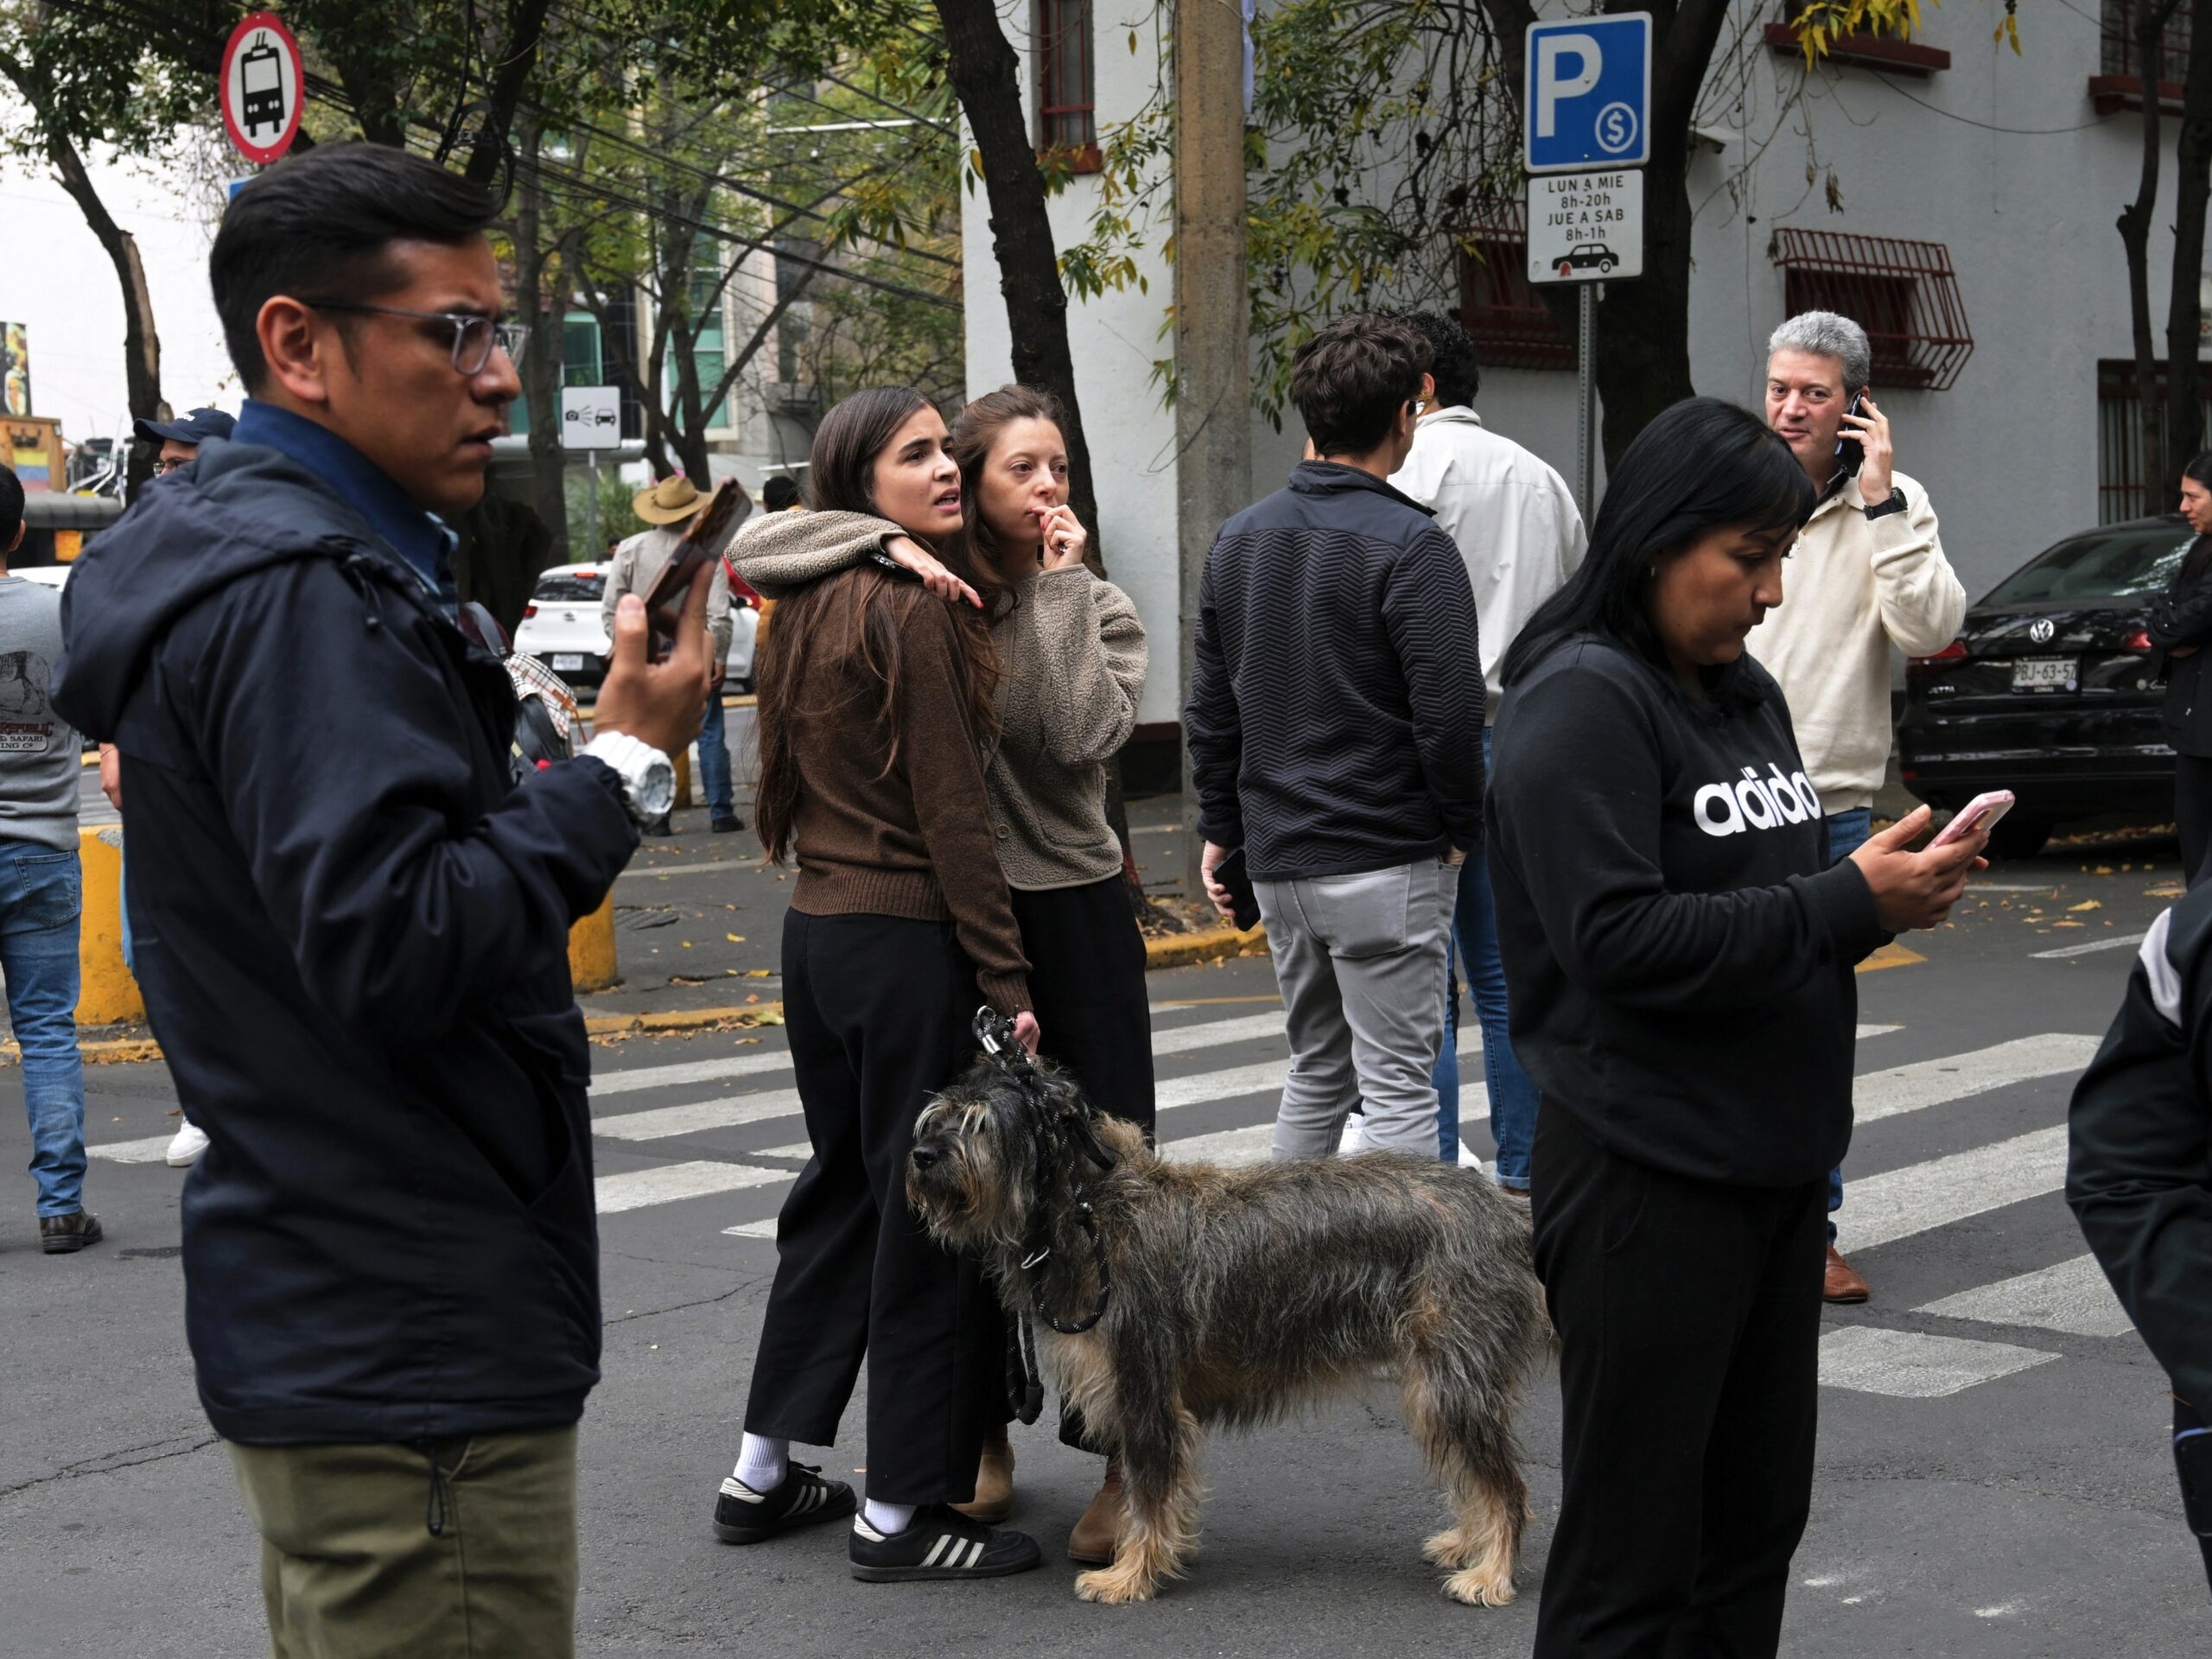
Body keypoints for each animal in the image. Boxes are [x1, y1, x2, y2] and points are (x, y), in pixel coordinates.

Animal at [906, 1052, 1548, 1610]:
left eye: (981, 1123)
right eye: (938, 1116)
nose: (920, 1155)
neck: (1093, 1213)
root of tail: (1504, 1212)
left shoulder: (1145, 1393)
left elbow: (1149, 1494)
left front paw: (1129, 1576)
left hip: (1451, 1385)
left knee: (1506, 1489)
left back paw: (1492, 1573)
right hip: (1441, 1388)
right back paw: (1468, 1545)